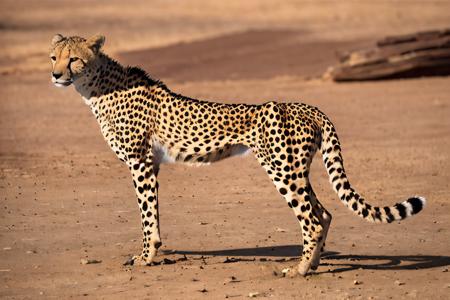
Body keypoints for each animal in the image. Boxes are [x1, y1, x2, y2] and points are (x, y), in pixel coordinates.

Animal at [49, 34, 426, 276]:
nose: (55, 75)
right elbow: (152, 212)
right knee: (326, 213)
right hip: (296, 170)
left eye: (74, 59)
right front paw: (152, 252)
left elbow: (146, 213)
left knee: (313, 219)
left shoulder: (140, 162)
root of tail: (306, 106)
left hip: (282, 170)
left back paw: (300, 269)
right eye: (54, 56)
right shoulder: (151, 163)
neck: (97, 87)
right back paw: (314, 263)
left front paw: (145, 257)